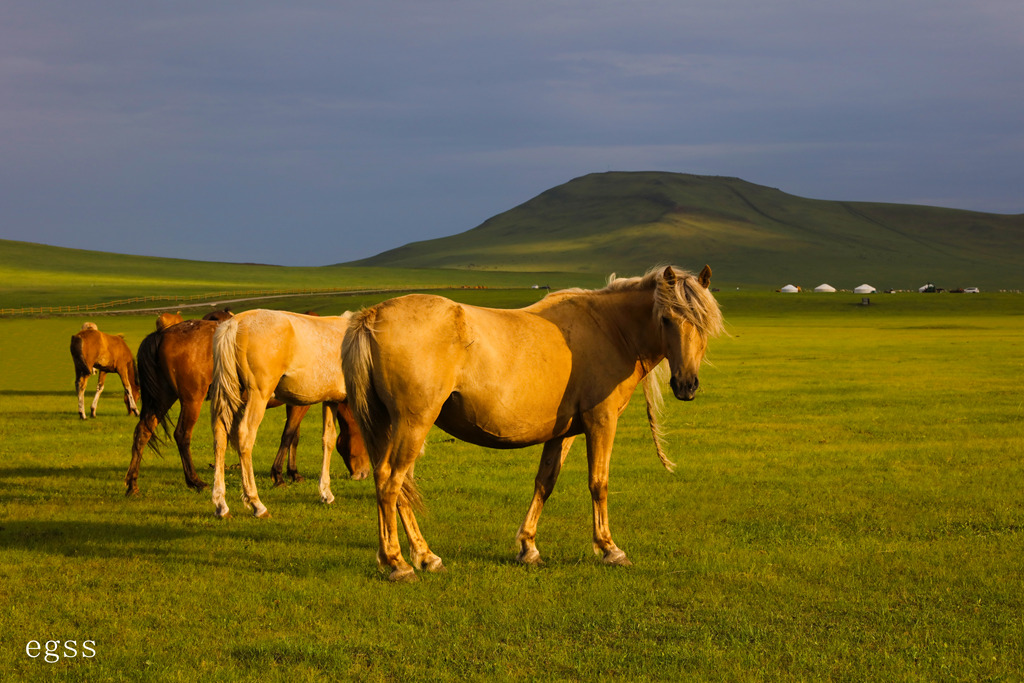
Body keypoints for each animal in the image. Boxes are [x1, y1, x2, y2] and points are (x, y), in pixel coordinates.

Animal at [124, 309, 370, 497]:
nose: (364, 473)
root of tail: (162, 334)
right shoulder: (302, 404)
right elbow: (288, 435)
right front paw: (278, 475)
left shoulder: (295, 403)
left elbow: (295, 437)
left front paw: (293, 473)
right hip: (191, 399)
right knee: (182, 435)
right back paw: (195, 481)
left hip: (163, 397)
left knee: (143, 432)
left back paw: (132, 484)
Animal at [209, 309, 366, 518]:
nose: (363, 473)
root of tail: (235, 323)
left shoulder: (330, 401)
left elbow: (328, 440)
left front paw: (326, 492)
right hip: (258, 395)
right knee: (245, 436)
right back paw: (257, 504)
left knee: (220, 437)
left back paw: (221, 505)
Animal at [339, 264, 724, 581]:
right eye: (667, 319)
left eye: (703, 324)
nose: (687, 385)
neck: (611, 329)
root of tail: (372, 314)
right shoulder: (601, 421)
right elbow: (599, 483)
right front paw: (610, 548)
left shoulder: (564, 432)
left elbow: (544, 483)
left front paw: (528, 547)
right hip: (413, 424)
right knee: (391, 482)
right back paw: (397, 563)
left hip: (391, 426)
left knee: (396, 486)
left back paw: (425, 556)